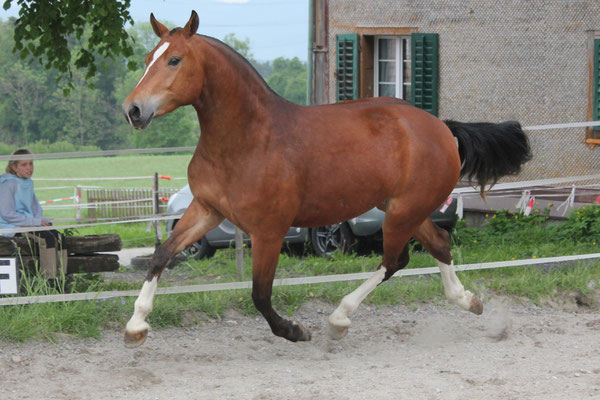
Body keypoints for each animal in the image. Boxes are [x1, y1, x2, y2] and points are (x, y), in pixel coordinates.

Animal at [120, 10, 528, 346]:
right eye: (148, 58)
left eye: (174, 60)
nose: (133, 110)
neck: (246, 140)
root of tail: (442, 128)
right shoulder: (207, 210)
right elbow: (161, 255)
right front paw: (136, 327)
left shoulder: (268, 230)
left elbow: (259, 294)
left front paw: (295, 330)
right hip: (402, 208)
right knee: (438, 244)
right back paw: (469, 301)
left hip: (403, 212)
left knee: (394, 261)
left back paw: (339, 319)